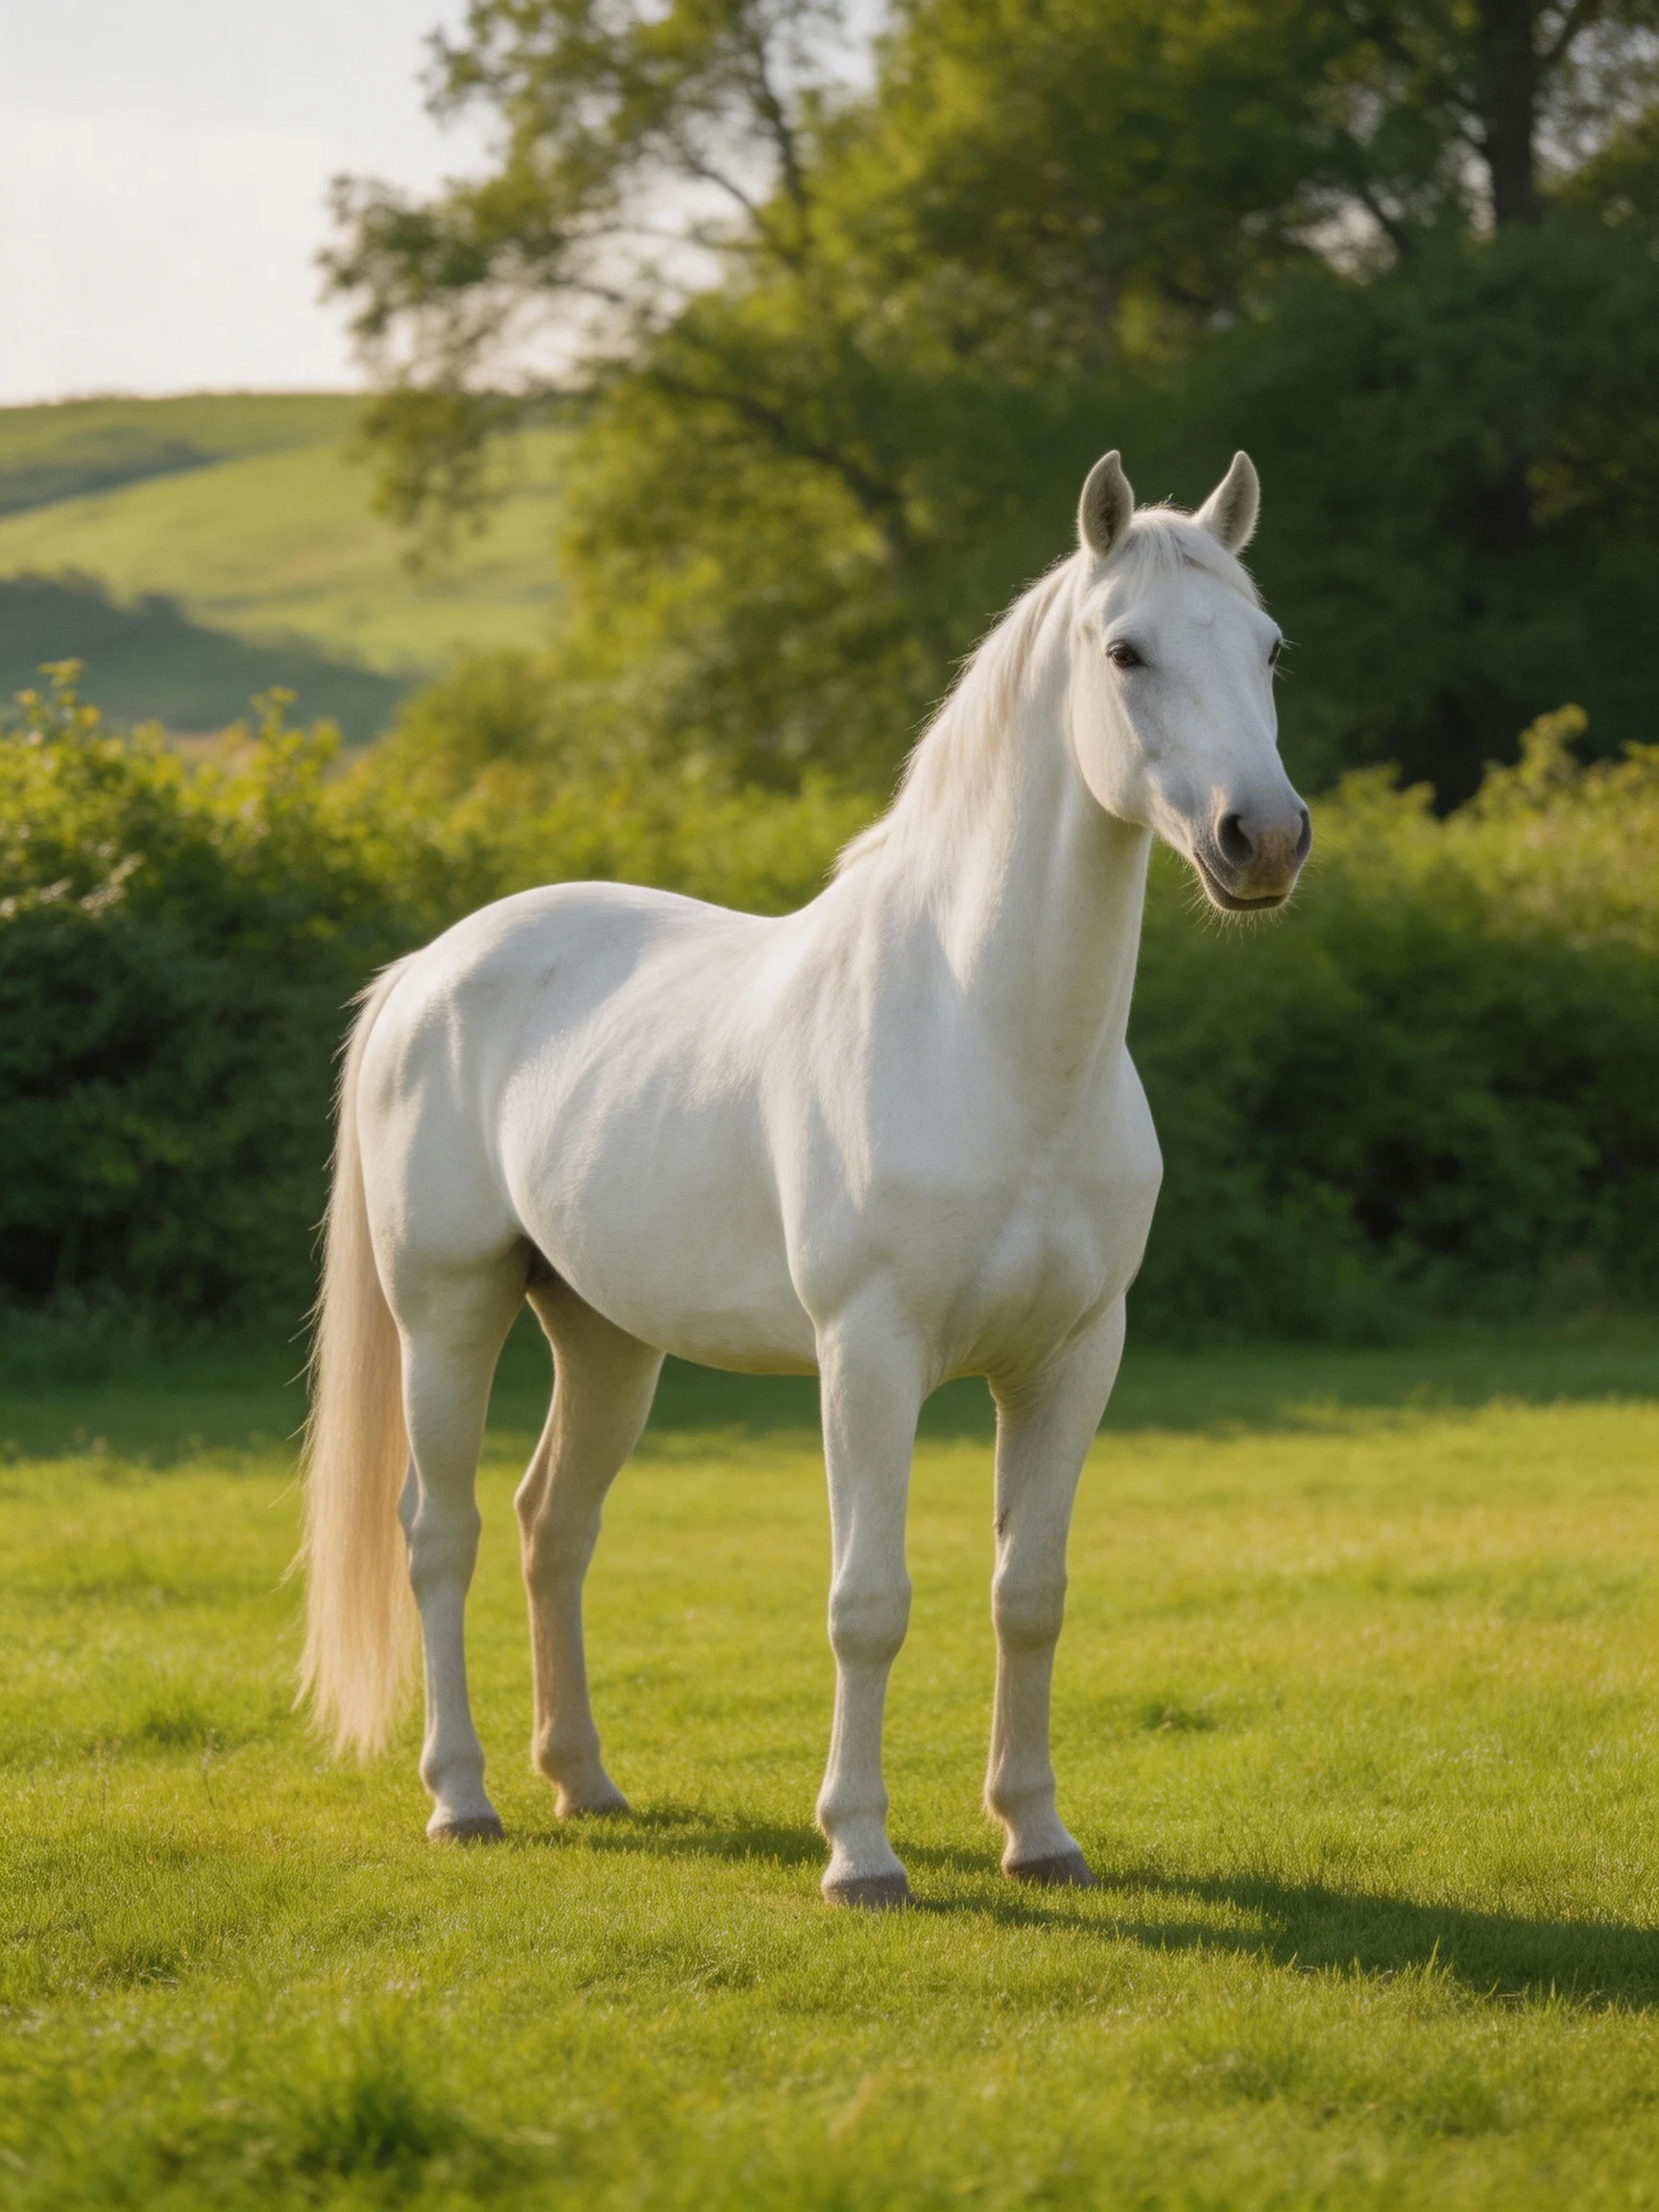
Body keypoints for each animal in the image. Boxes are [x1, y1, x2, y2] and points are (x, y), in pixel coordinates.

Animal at [298, 447, 1309, 1906]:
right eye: (1125, 650)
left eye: (1269, 647)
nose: (1263, 840)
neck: (984, 1033)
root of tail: (426, 971)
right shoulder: (869, 1357)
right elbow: (867, 1602)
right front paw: (861, 1854)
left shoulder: (1072, 1359)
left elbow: (1031, 1594)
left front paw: (1037, 1834)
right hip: (450, 1311)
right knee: (441, 1531)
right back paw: (464, 1799)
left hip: (605, 1338)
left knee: (556, 1526)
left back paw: (584, 1783)